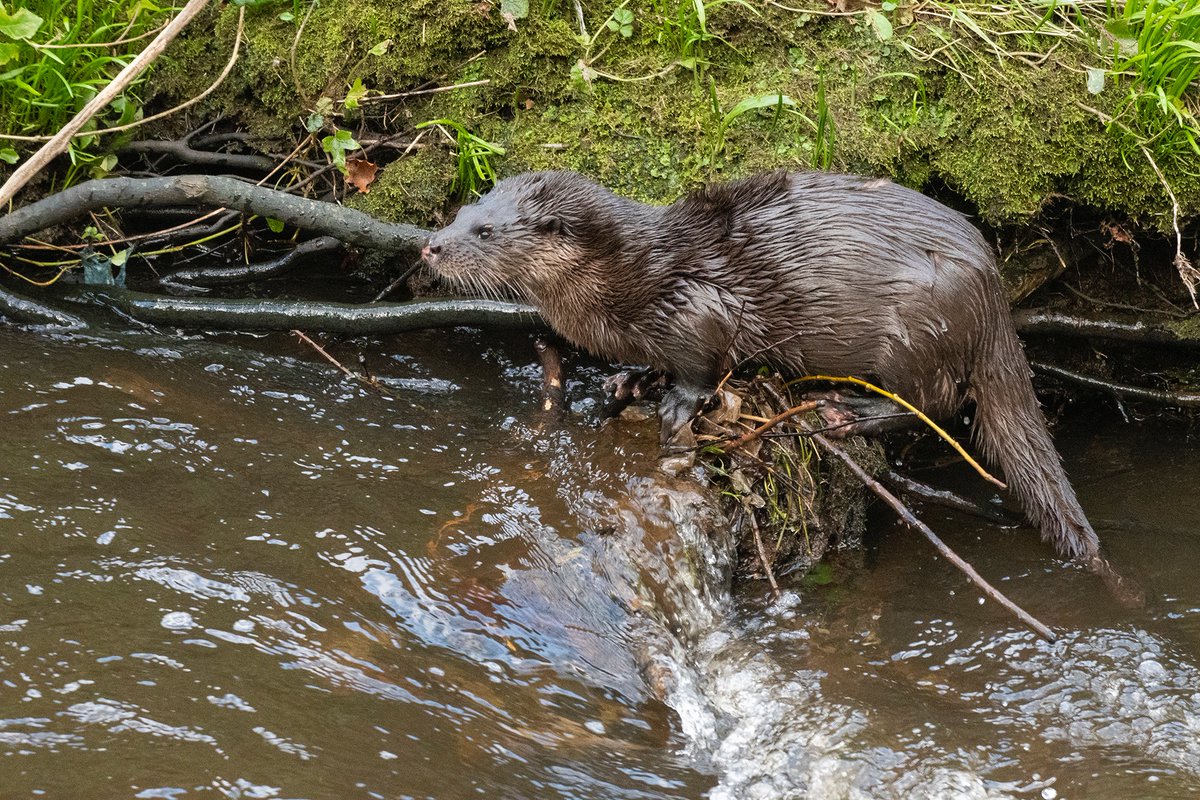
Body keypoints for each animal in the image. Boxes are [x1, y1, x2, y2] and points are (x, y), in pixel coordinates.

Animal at [421, 170, 1100, 564]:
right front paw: (629, 378)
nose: (429, 245)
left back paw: (848, 411)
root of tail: (994, 299)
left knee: (937, 404)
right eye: (460, 212)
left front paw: (675, 403)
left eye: (484, 231)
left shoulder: (697, 304)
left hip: (917, 325)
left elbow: (702, 361)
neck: (628, 279)